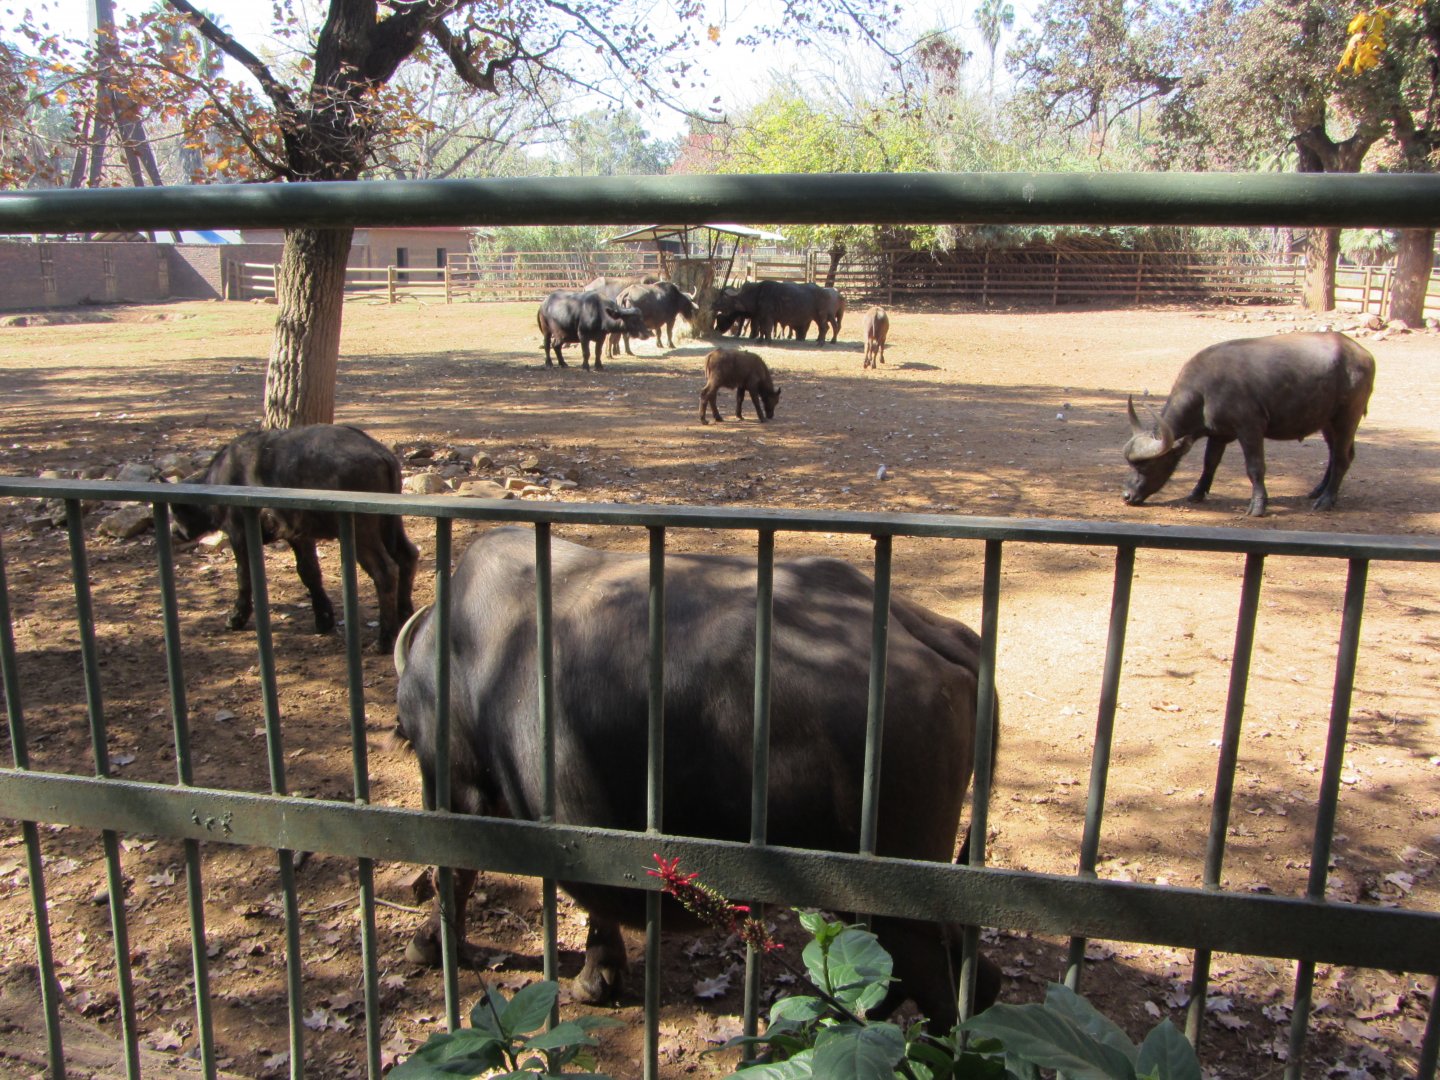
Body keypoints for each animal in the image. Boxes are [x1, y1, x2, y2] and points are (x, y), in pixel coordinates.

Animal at [170, 424, 418, 653]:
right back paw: (404, 617)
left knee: (385, 571)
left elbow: (243, 575)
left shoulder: (239, 533)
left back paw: (384, 639)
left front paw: (236, 617)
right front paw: (324, 617)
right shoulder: (300, 536)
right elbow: (309, 572)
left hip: (362, 533)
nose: (175, 532)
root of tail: (380, 453)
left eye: (177, 510)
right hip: (390, 525)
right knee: (407, 555)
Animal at [393, 527, 1000, 1026]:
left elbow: (457, 872)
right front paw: (601, 975)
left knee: (944, 989)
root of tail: (929, 635)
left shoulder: (459, 787)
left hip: (894, 900)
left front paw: (427, 944)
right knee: (969, 976)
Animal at [1123, 332, 1375, 517]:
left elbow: (1255, 467)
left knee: (1342, 458)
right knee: (1335, 454)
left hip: (1347, 417)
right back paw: (1318, 490)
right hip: (1326, 421)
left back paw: (1326, 500)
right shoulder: (1218, 434)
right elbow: (1209, 463)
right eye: (1131, 465)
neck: (1206, 390)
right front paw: (1196, 493)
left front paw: (1258, 505)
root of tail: (1362, 354)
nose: (1127, 496)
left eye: (1146, 466)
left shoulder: (1250, 429)